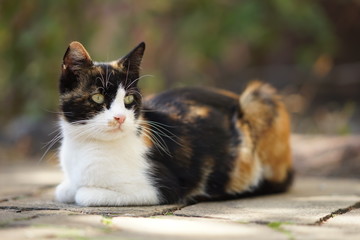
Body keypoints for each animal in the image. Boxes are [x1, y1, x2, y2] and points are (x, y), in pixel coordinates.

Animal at [55, 41, 292, 206]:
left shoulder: (162, 188)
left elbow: (83, 194)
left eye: (129, 99)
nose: (120, 117)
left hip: (259, 99)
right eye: (97, 98)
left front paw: (82, 190)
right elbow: (63, 190)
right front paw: (69, 188)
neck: (87, 146)